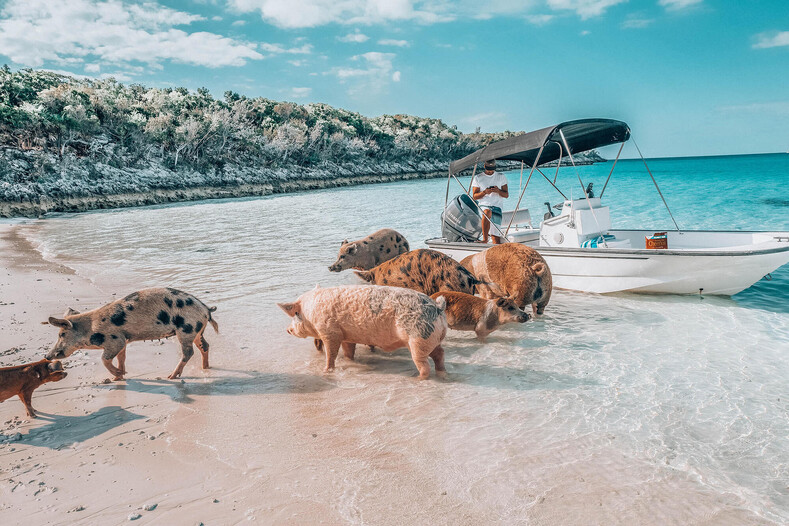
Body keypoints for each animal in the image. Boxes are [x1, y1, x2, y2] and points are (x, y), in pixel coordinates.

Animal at [45, 288, 219, 380]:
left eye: (61, 334)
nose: (47, 356)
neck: (91, 328)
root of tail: (205, 309)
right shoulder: (124, 340)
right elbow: (122, 357)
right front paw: (119, 376)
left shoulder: (115, 340)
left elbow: (104, 359)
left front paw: (117, 375)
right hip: (196, 331)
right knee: (205, 346)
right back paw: (205, 367)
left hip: (186, 329)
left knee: (188, 352)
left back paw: (171, 376)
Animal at [280, 286, 446, 382]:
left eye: (295, 314)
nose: (287, 329)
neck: (311, 311)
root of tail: (438, 307)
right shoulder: (346, 335)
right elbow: (348, 351)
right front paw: (350, 362)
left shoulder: (330, 331)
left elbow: (331, 353)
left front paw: (326, 371)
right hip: (432, 339)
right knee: (440, 353)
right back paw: (442, 372)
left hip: (418, 338)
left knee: (424, 365)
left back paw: (416, 379)